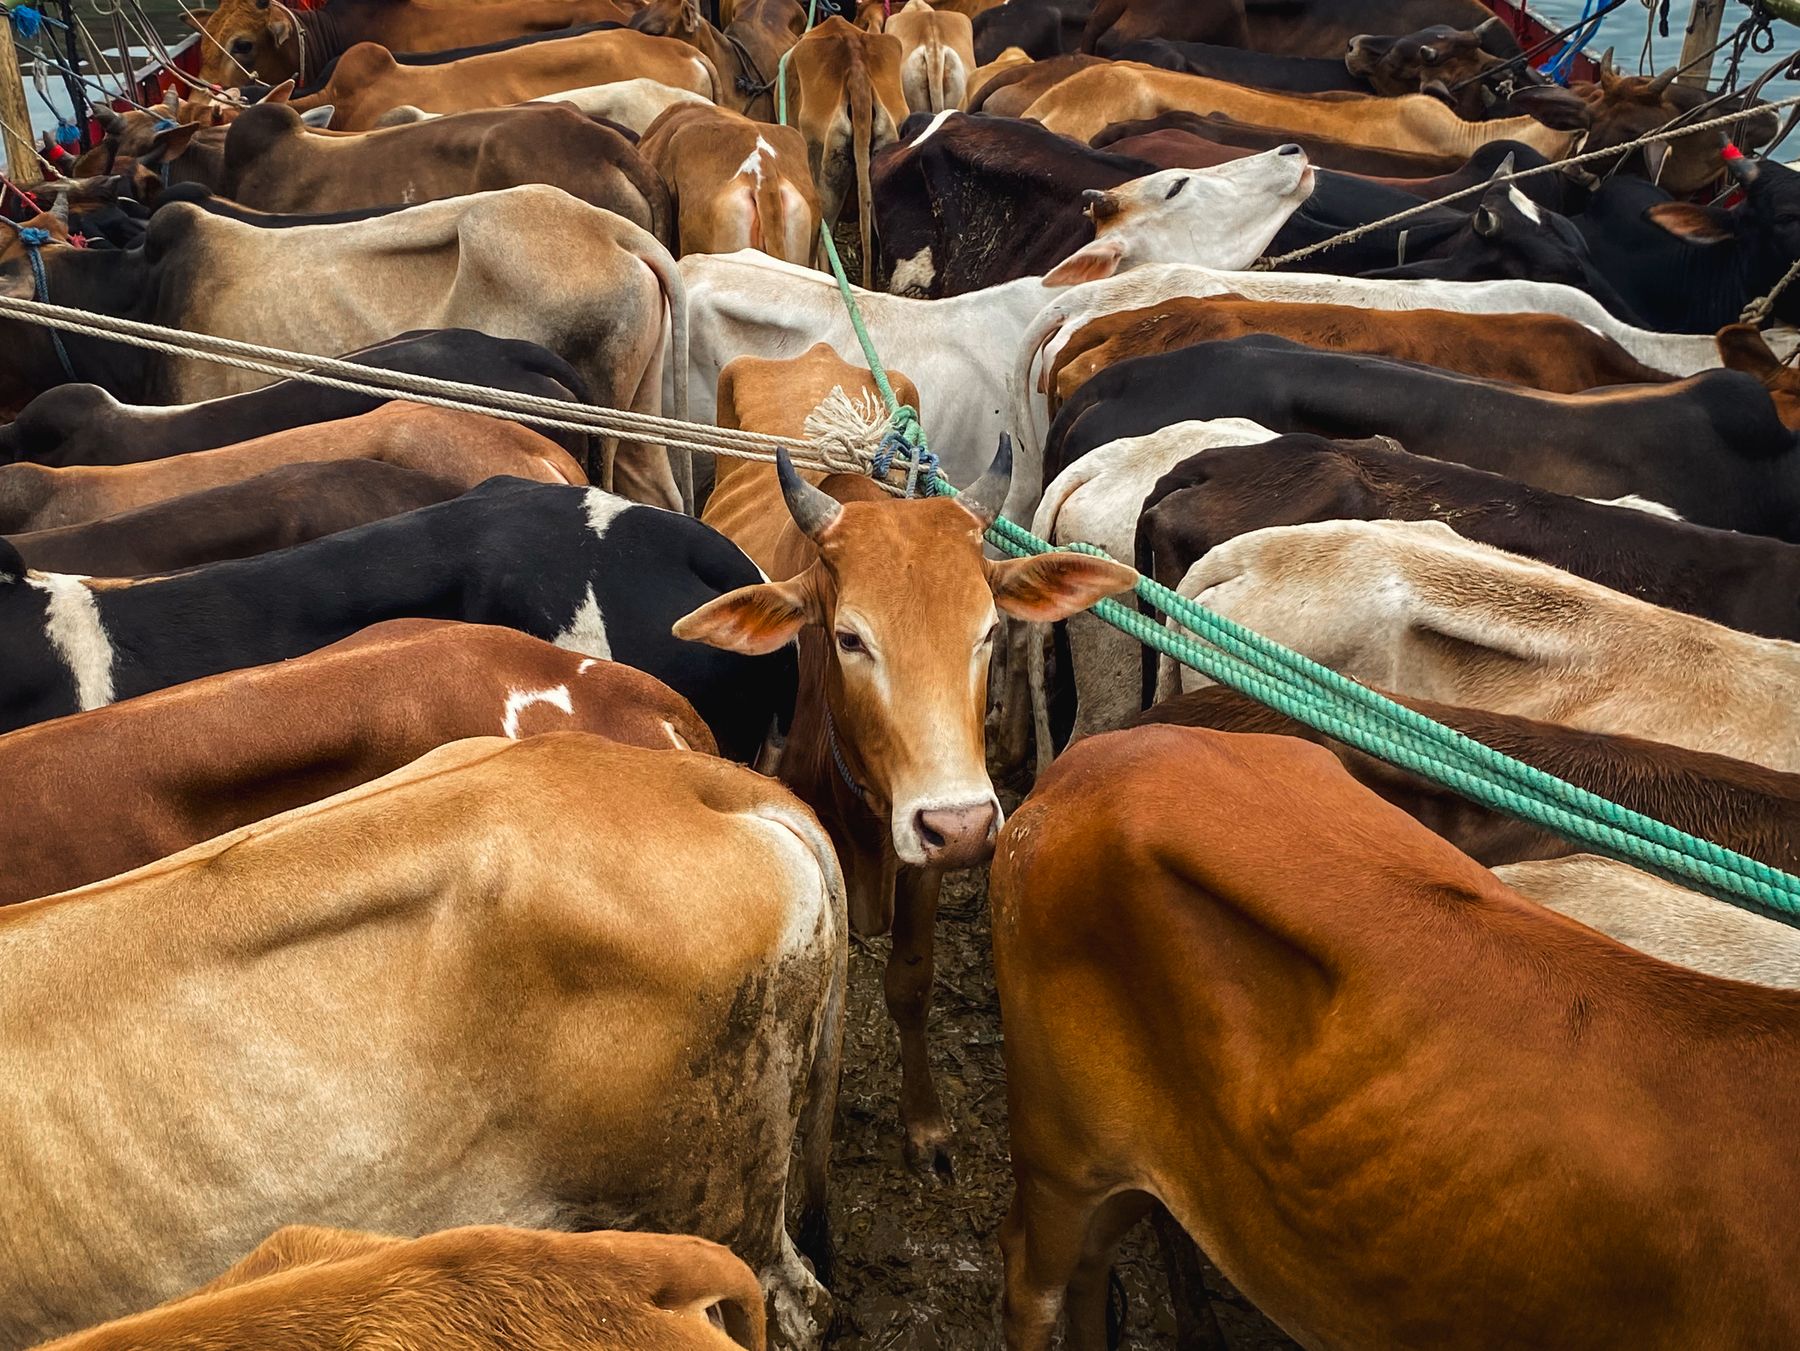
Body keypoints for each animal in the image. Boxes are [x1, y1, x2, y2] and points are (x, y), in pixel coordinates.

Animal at [677, 347, 1135, 1166]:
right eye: (849, 638)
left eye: (990, 629)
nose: (961, 824)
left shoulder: (928, 854)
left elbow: (911, 981)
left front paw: (925, 1123)